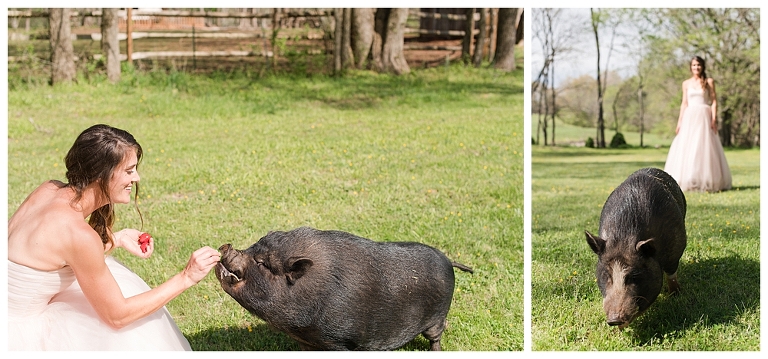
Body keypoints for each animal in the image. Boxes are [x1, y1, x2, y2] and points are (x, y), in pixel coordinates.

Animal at [213, 228, 472, 352]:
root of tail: (449, 260)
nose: (225, 247)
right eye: (253, 246)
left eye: (263, 263)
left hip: (438, 315)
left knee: (437, 335)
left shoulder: (340, 341)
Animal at [584, 167, 688, 330]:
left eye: (634, 276)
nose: (614, 320)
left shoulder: (675, 250)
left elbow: (671, 274)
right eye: (607, 275)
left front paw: (676, 295)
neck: (625, 235)